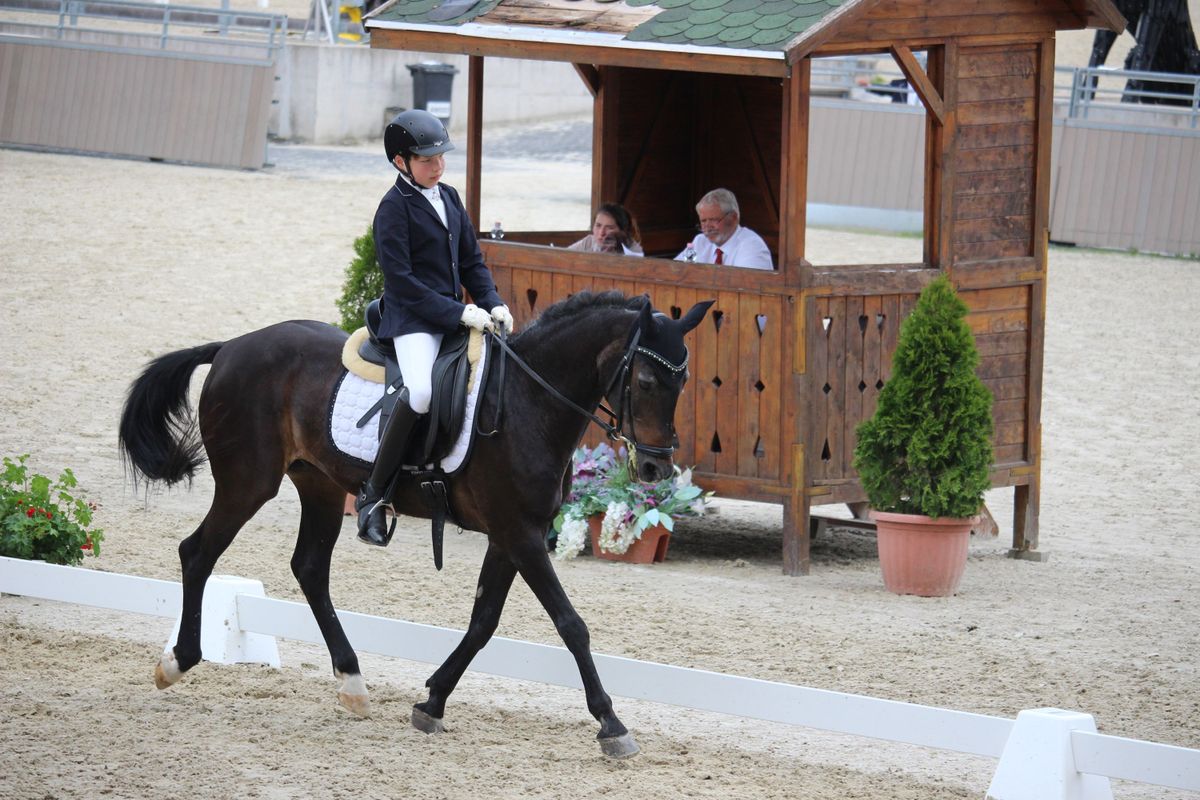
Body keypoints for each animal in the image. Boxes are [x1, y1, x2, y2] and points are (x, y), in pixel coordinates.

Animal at [117, 292, 705, 758]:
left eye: (684, 382)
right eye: (646, 380)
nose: (656, 469)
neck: (528, 403)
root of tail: (231, 347)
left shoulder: (511, 536)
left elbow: (483, 622)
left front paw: (433, 701)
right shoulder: (520, 535)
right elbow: (570, 624)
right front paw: (611, 723)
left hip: (320, 485)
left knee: (309, 569)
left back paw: (352, 683)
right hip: (249, 482)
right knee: (198, 552)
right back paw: (178, 662)